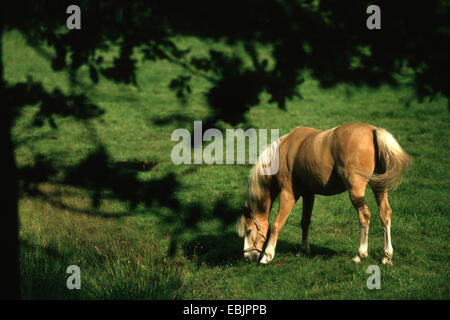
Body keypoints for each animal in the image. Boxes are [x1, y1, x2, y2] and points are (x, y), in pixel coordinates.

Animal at [237, 122, 410, 264]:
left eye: (249, 230)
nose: (247, 257)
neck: (284, 151)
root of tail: (372, 131)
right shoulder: (309, 194)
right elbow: (305, 222)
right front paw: (303, 251)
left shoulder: (288, 194)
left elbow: (276, 224)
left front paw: (267, 256)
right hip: (379, 187)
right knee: (385, 214)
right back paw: (386, 256)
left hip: (356, 190)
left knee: (364, 216)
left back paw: (360, 255)